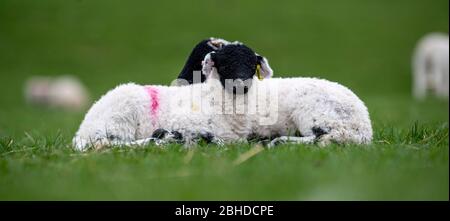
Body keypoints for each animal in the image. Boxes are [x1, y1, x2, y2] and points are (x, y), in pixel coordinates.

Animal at [73, 43, 372, 151]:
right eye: (223, 63)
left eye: (251, 63)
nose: (241, 84)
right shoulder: (189, 122)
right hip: (117, 120)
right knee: (108, 144)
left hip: (320, 115)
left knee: (327, 138)